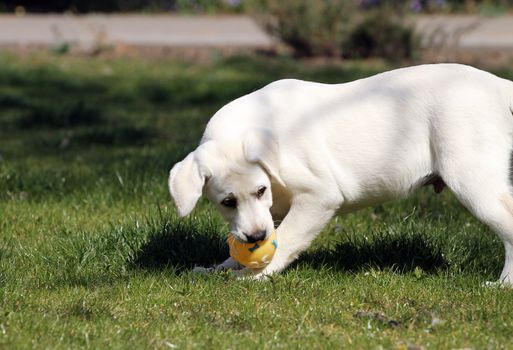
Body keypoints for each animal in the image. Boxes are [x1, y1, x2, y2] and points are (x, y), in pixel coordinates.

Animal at [169, 62, 513, 282]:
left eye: (260, 190)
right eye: (227, 202)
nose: (256, 237)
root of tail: (497, 84)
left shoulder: (318, 197)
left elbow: (286, 239)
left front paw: (255, 276)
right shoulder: (272, 212)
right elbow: (247, 245)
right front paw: (217, 269)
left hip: (472, 179)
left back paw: (502, 284)